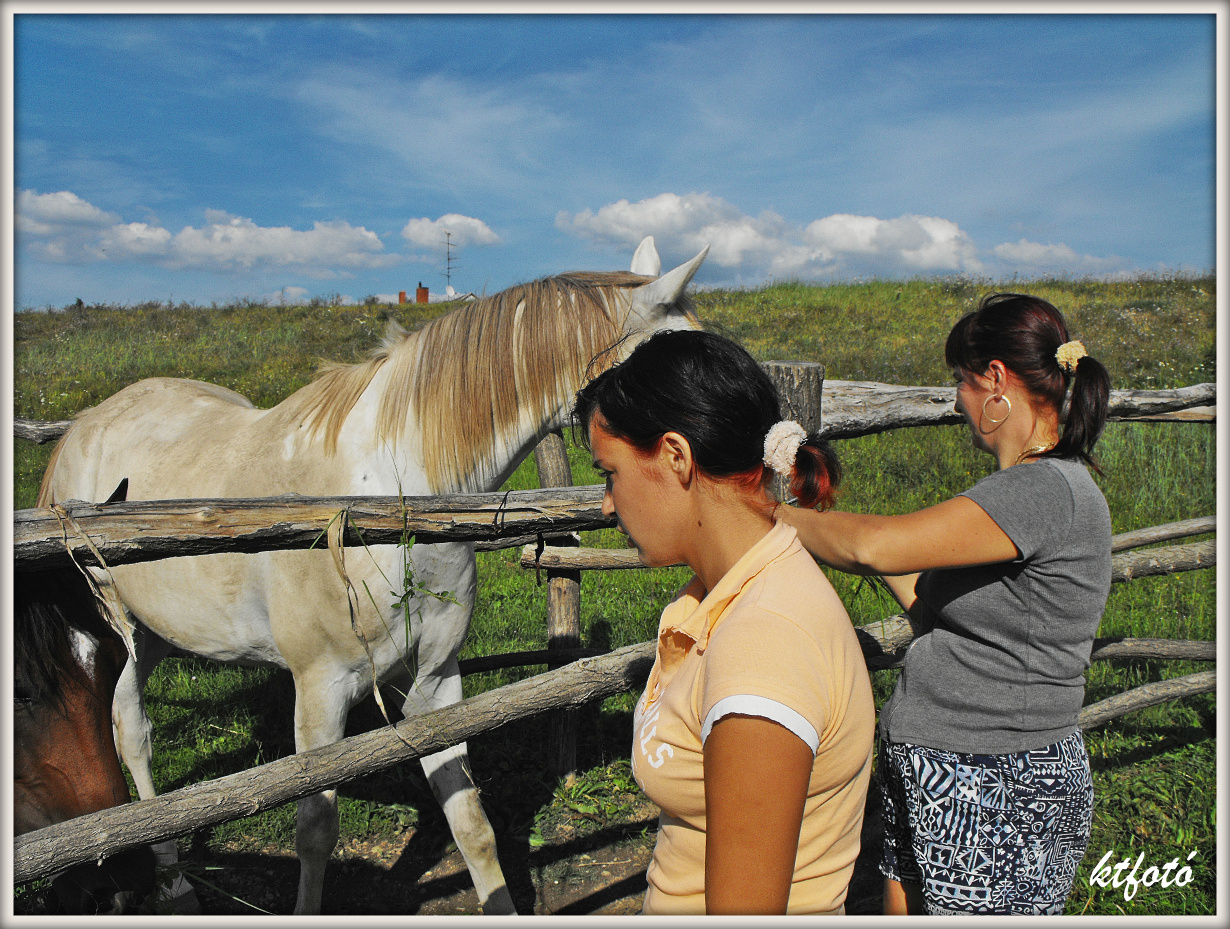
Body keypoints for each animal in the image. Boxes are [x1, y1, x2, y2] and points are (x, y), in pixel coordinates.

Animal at [38, 236, 708, 910]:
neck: (389, 505)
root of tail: (83, 427)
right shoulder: (320, 690)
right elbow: (315, 831)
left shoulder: (437, 681)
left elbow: (472, 824)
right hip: (118, 630)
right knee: (133, 736)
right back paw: (173, 883)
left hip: (152, 634)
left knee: (130, 729)